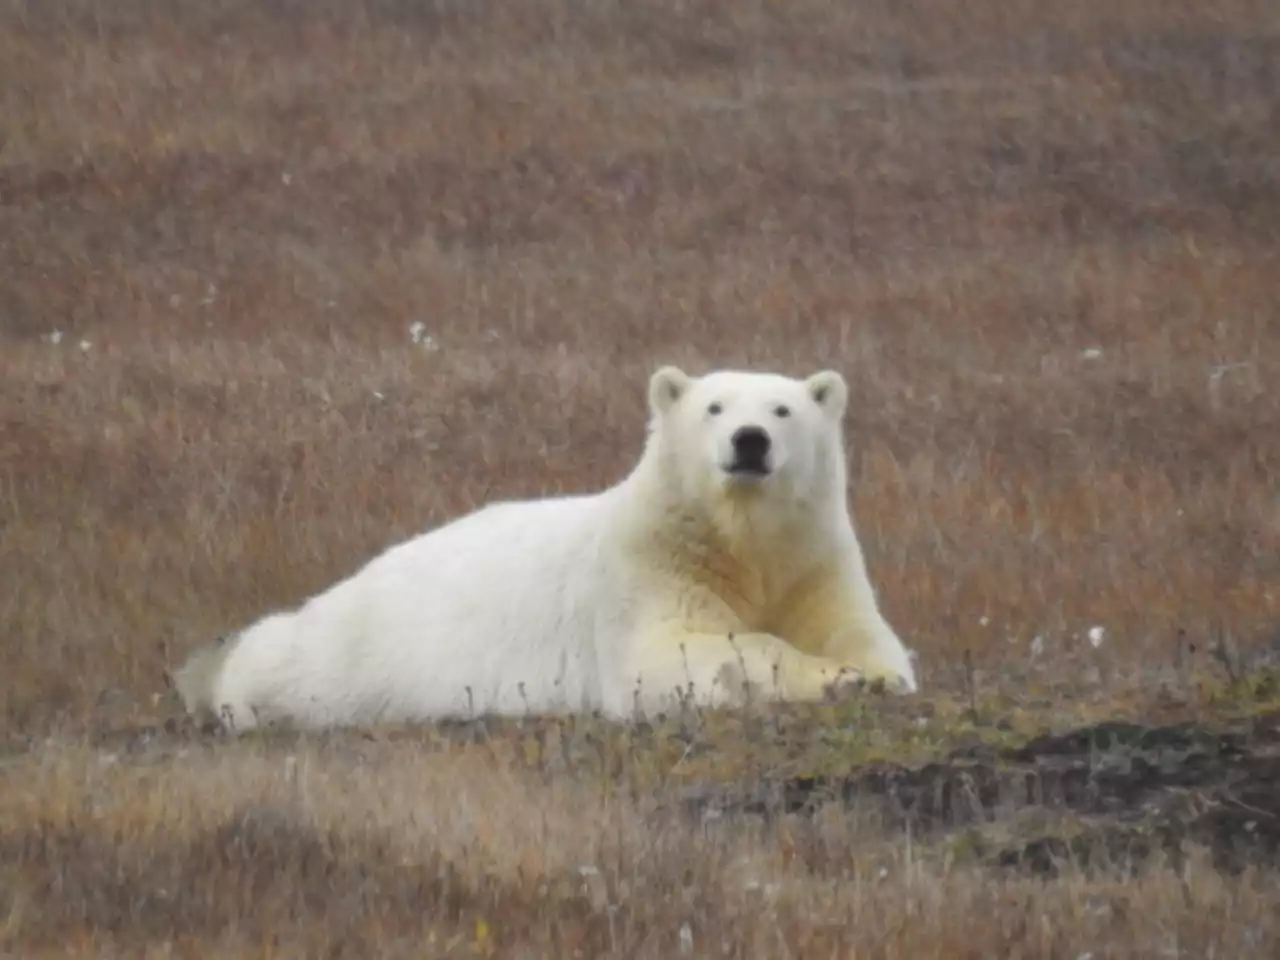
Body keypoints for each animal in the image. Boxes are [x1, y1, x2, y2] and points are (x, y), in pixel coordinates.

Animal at [172, 363, 921, 732]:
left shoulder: (813, 558)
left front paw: (873, 673)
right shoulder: (647, 568)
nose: (749, 441)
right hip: (348, 655)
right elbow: (676, 653)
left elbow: (859, 631)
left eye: (783, 410)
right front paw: (833, 677)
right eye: (713, 407)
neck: (740, 538)